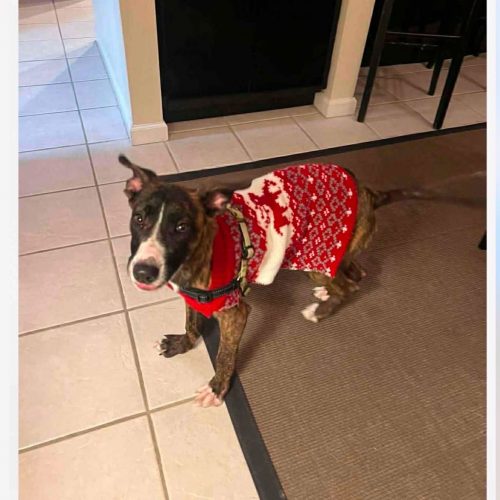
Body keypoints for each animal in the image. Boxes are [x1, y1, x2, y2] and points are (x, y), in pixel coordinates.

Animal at [119, 154, 424, 408]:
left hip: (317, 257)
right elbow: (191, 322)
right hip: (334, 255)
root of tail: (367, 191)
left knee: (351, 285)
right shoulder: (192, 295)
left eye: (182, 227)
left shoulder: (235, 313)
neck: (200, 252)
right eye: (139, 218)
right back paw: (327, 293)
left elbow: (224, 355)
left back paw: (319, 311)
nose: (143, 272)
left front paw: (217, 388)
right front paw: (181, 344)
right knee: (356, 272)